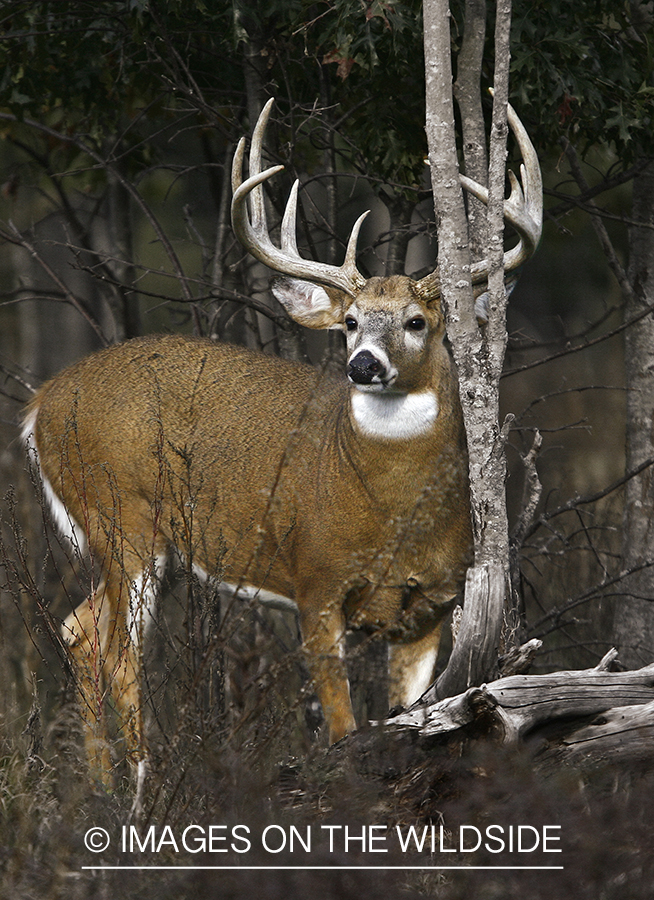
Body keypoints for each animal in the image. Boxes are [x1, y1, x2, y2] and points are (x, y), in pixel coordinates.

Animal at [22, 98, 542, 785]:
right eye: (350, 322)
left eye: (416, 322)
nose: (364, 364)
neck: (390, 510)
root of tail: (40, 406)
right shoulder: (315, 582)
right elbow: (342, 725)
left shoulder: (429, 608)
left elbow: (411, 716)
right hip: (121, 515)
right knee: (115, 651)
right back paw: (142, 782)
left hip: (132, 539)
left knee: (78, 630)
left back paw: (102, 785)